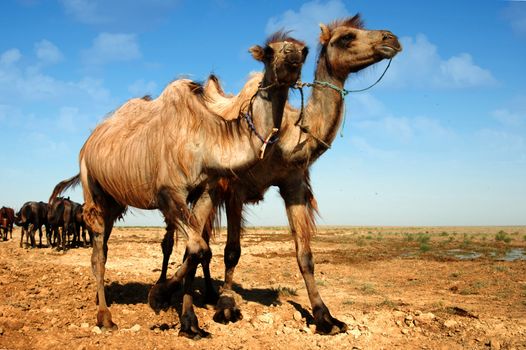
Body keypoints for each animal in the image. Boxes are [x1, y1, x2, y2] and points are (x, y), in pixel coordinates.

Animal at [49, 33, 310, 340]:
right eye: (270, 51)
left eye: (305, 50)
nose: (294, 55)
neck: (206, 142)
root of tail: (89, 142)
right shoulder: (168, 193)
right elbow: (197, 247)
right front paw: (158, 297)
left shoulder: (205, 192)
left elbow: (197, 250)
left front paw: (190, 322)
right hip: (92, 185)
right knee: (99, 252)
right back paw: (105, 318)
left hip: (114, 200)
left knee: (101, 248)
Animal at [155, 14, 402, 336]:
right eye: (346, 37)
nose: (391, 38)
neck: (284, 136)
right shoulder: (235, 189)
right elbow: (231, 251)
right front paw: (225, 306)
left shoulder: (293, 185)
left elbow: (305, 255)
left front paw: (325, 317)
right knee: (174, 243)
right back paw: (170, 293)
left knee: (201, 243)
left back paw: (205, 292)